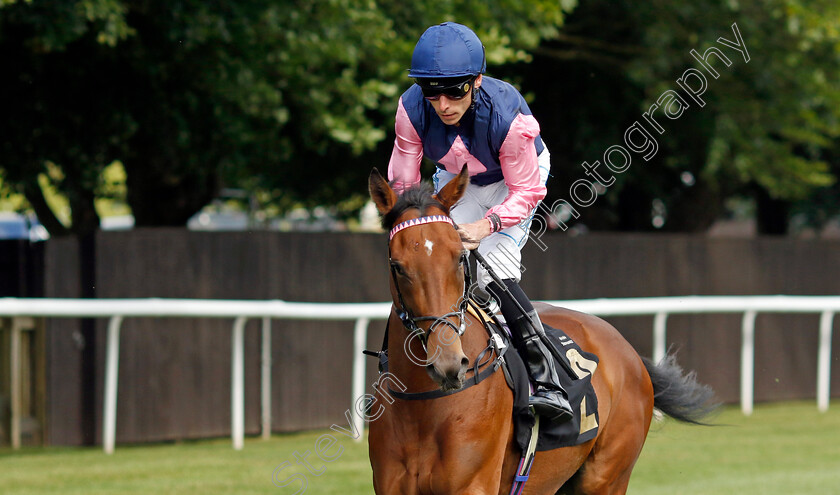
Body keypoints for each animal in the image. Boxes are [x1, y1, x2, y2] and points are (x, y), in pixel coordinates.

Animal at [368, 168, 716, 495]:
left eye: (459, 258)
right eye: (397, 266)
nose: (449, 364)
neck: (424, 407)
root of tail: (628, 350)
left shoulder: (472, 485)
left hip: (607, 478)